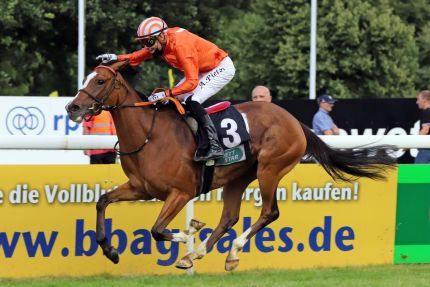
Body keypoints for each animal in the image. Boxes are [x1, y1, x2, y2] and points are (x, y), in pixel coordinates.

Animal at [66, 60, 396, 272]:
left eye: (99, 81)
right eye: (85, 79)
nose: (73, 107)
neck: (150, 135)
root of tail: (295, 122)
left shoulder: (181, 192)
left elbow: (158, 230)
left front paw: (189, 231)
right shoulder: (140, 188)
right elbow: (102, 201)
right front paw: (109, 250)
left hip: (270, 169)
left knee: (269, 212)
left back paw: (229, 250)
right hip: (238, 177)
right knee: (229, 217)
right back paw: (199, 254)